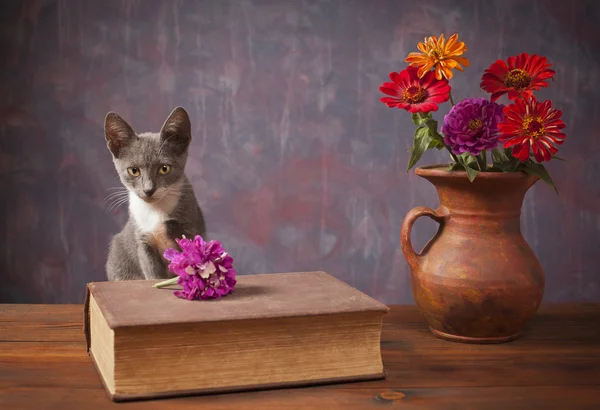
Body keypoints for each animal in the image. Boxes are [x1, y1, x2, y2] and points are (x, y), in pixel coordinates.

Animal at [104, 105, 205, 280]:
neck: (156, 210)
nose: (148, 190)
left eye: (164, 168)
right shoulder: (143, 241)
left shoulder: (190, 228)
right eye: (134, 171)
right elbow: (152, 273)